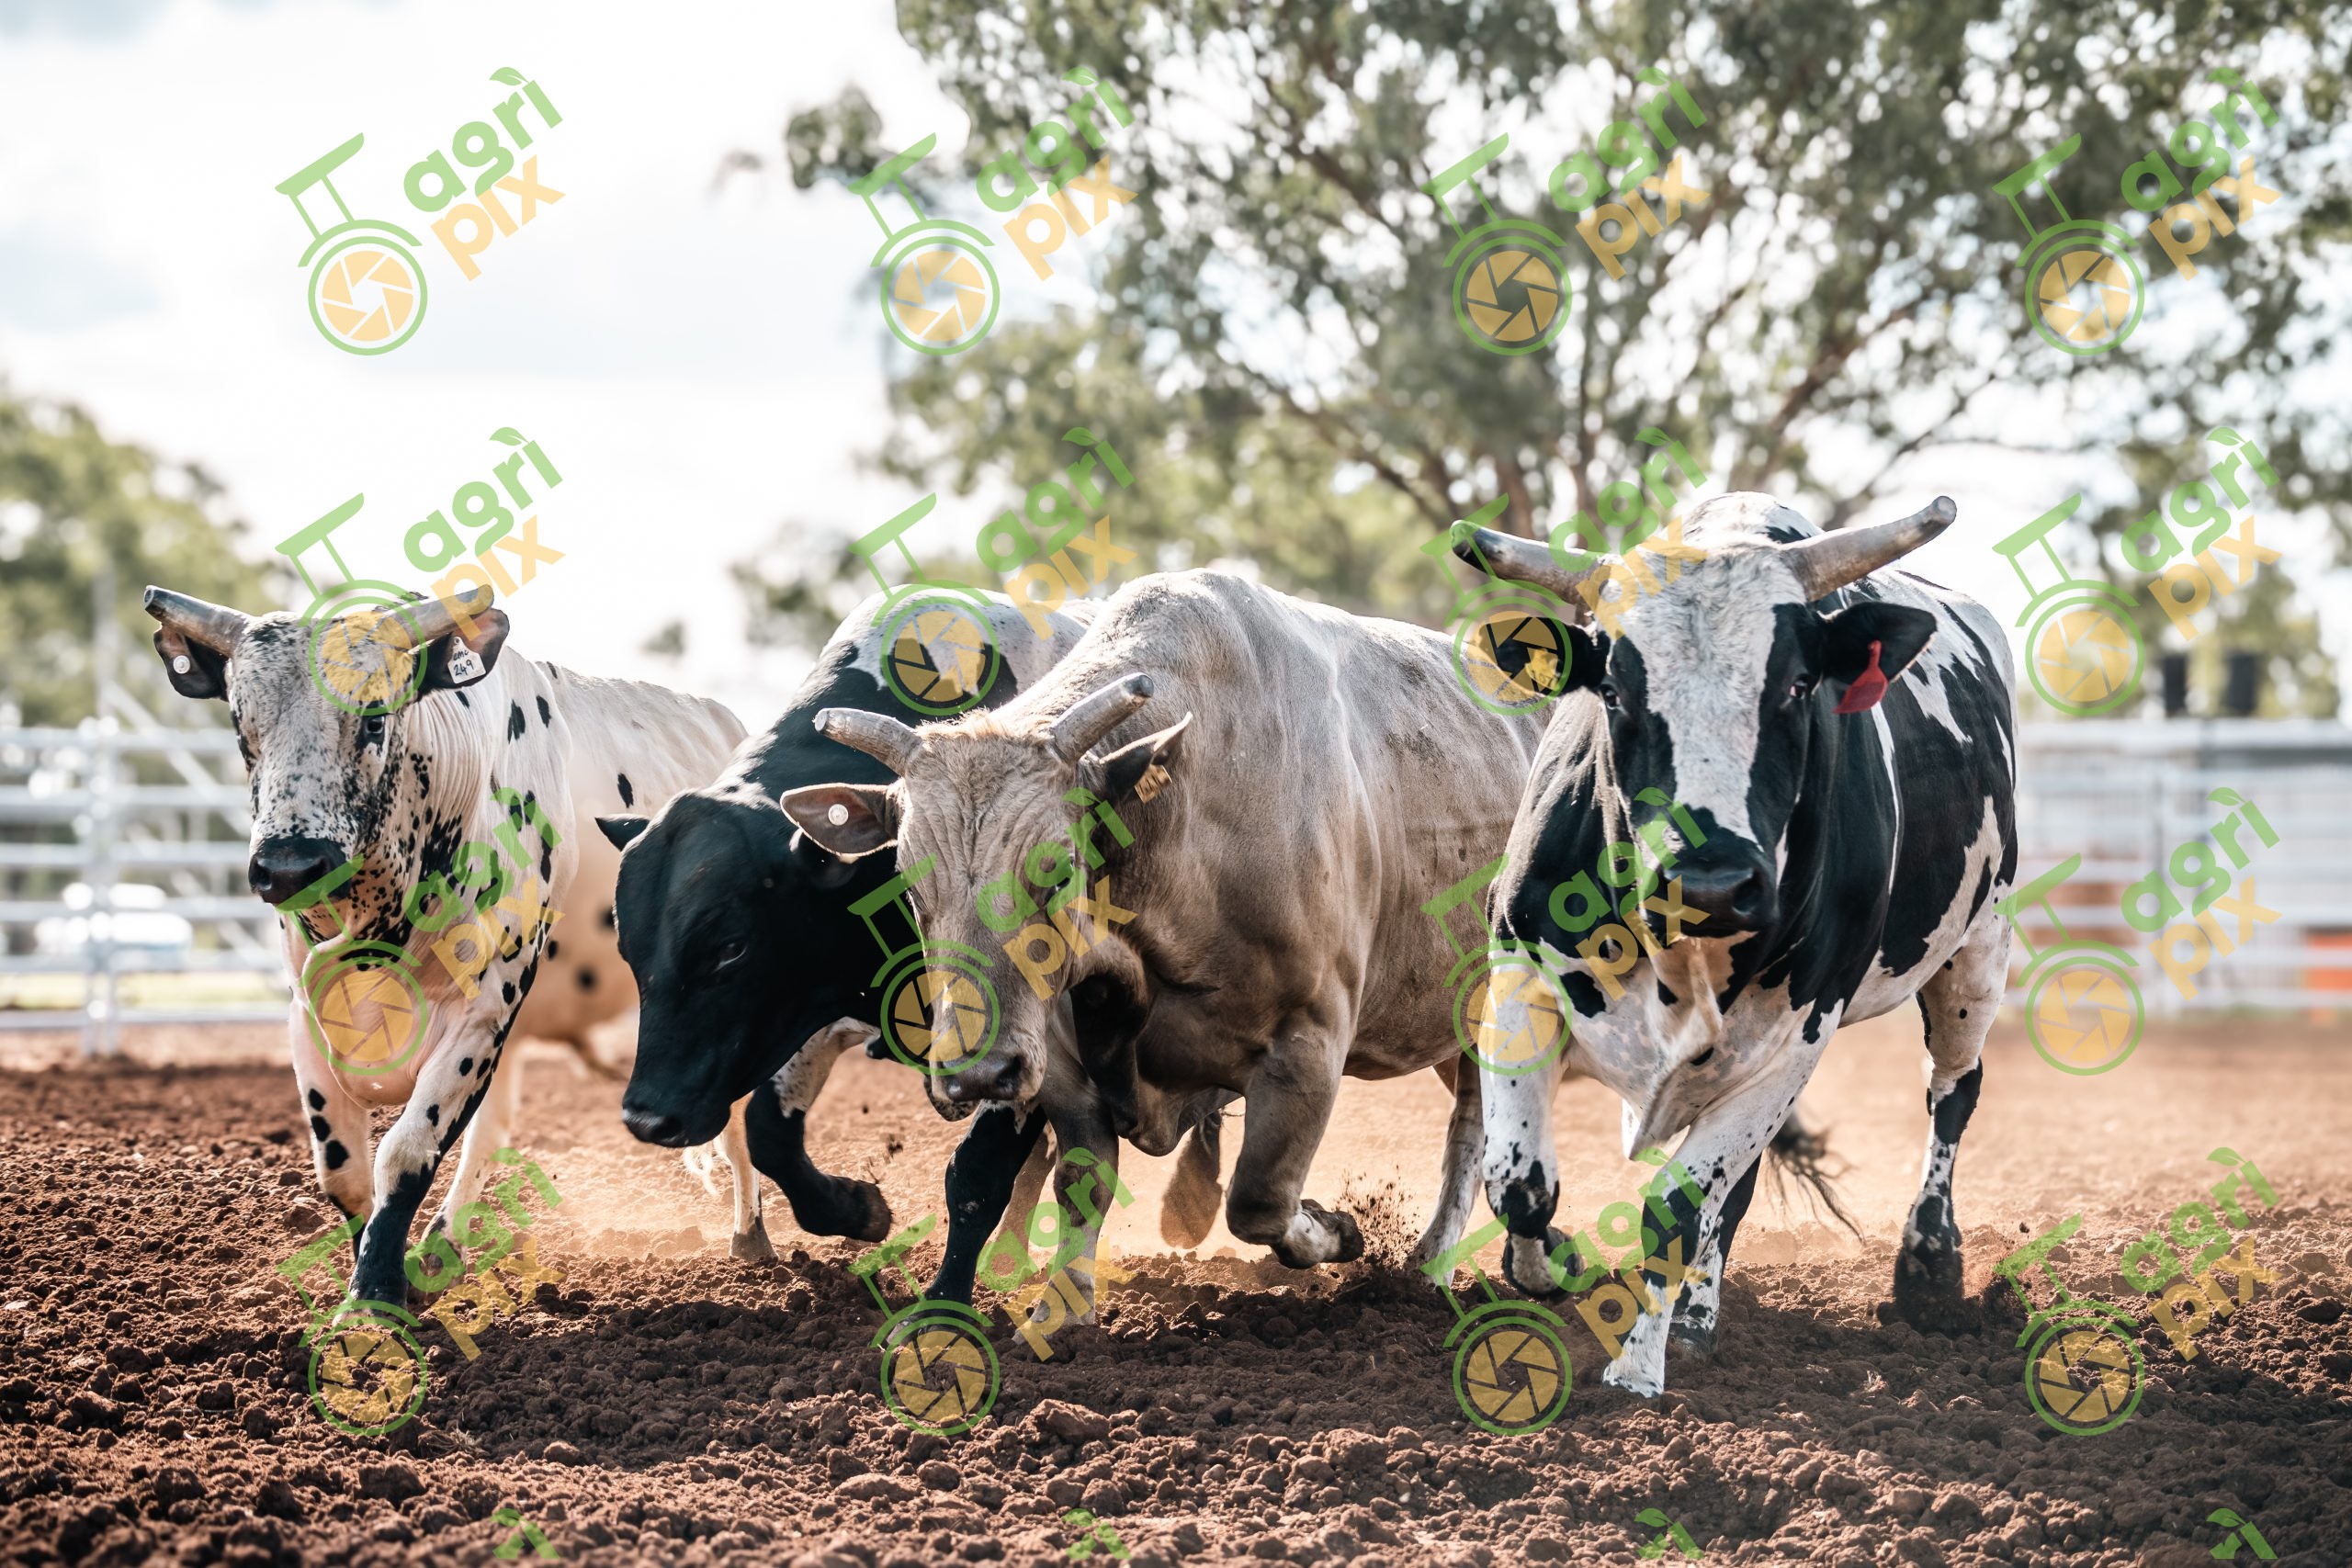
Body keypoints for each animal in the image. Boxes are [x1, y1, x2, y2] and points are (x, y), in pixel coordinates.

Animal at [143, 583, 753, 1310]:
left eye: (375, 720)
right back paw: (443, 1246)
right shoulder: (304, 1015)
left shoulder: (484, 1010)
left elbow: (407, 1151)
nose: (290, 866)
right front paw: (378, 1277)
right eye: (242, 729)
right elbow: (344, 1169)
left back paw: (752, 1232)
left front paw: (376, 1294)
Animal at [596, 590, 1229, 1324]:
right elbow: (769, 1130)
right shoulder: (825, 1007)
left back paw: (1190, 1201)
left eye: (731, 946)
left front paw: (945, 1306)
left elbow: (979, 1170)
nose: (648, 1116)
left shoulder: (1010, 1041)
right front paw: (856, 1209)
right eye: (629, 947)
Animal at [780, 570, 1548, 1283]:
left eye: (1056, 868)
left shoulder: (1310, 1042)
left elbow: (1260, 1201)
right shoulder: (1066, 1064)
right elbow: (1083, 1184)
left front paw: (1338, 1230)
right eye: (910, 886)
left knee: (1479, 1134)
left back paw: (1458, 1264)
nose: (979, 1074)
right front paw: (1063, 1309)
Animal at [1446, 490, 2016, 1396]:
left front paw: (1637, 1370)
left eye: (1796, 684)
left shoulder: (1797, 1035)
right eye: (1613, 688)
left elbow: (1679, 1208)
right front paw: (1547, 1267)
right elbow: (1520, 1182)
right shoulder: (1521, 975)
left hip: (1977, 950)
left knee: (1951, 1090)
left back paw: (1927, 1266)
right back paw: (1699, 1314)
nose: (1711, 880)